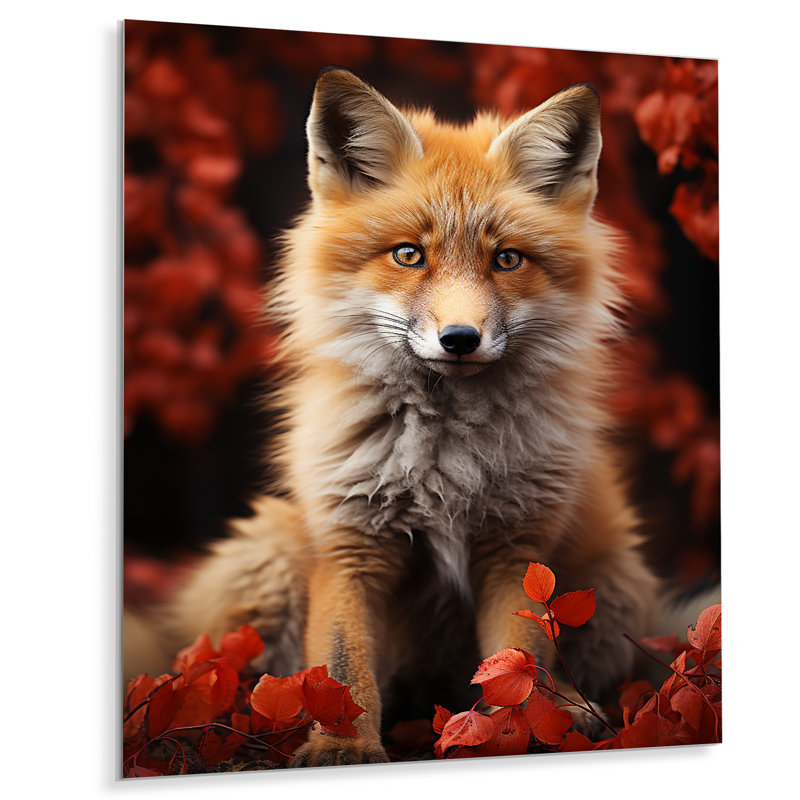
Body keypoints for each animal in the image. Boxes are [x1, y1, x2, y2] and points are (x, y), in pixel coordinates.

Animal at [125, 67, 671, 766]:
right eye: (409, 255)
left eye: (507, 259)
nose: (460, 339)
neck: (445, 460)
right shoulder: (350, 543)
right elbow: (341, 666)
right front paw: (341, 744)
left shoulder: (517, 551)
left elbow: (521, 662)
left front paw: (514, 734)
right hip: (268, 550)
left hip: (618, 578)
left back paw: (576, 715)